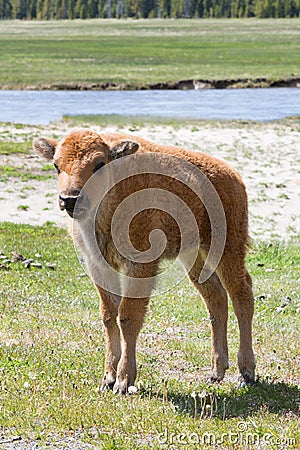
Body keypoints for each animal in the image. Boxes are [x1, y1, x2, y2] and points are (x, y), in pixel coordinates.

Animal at [34, 129, 255, 394]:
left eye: (99, 163)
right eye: (56, 165)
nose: (69, 199)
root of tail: (234, 177)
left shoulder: (139, 265)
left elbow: (128, 316)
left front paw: (123, 381)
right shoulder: (98, 266)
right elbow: (109, 316)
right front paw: (107, 378)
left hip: (228, 249)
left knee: (242, 295)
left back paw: (246, 373)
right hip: (193, 256)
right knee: (216, 298)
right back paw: (216, 372)